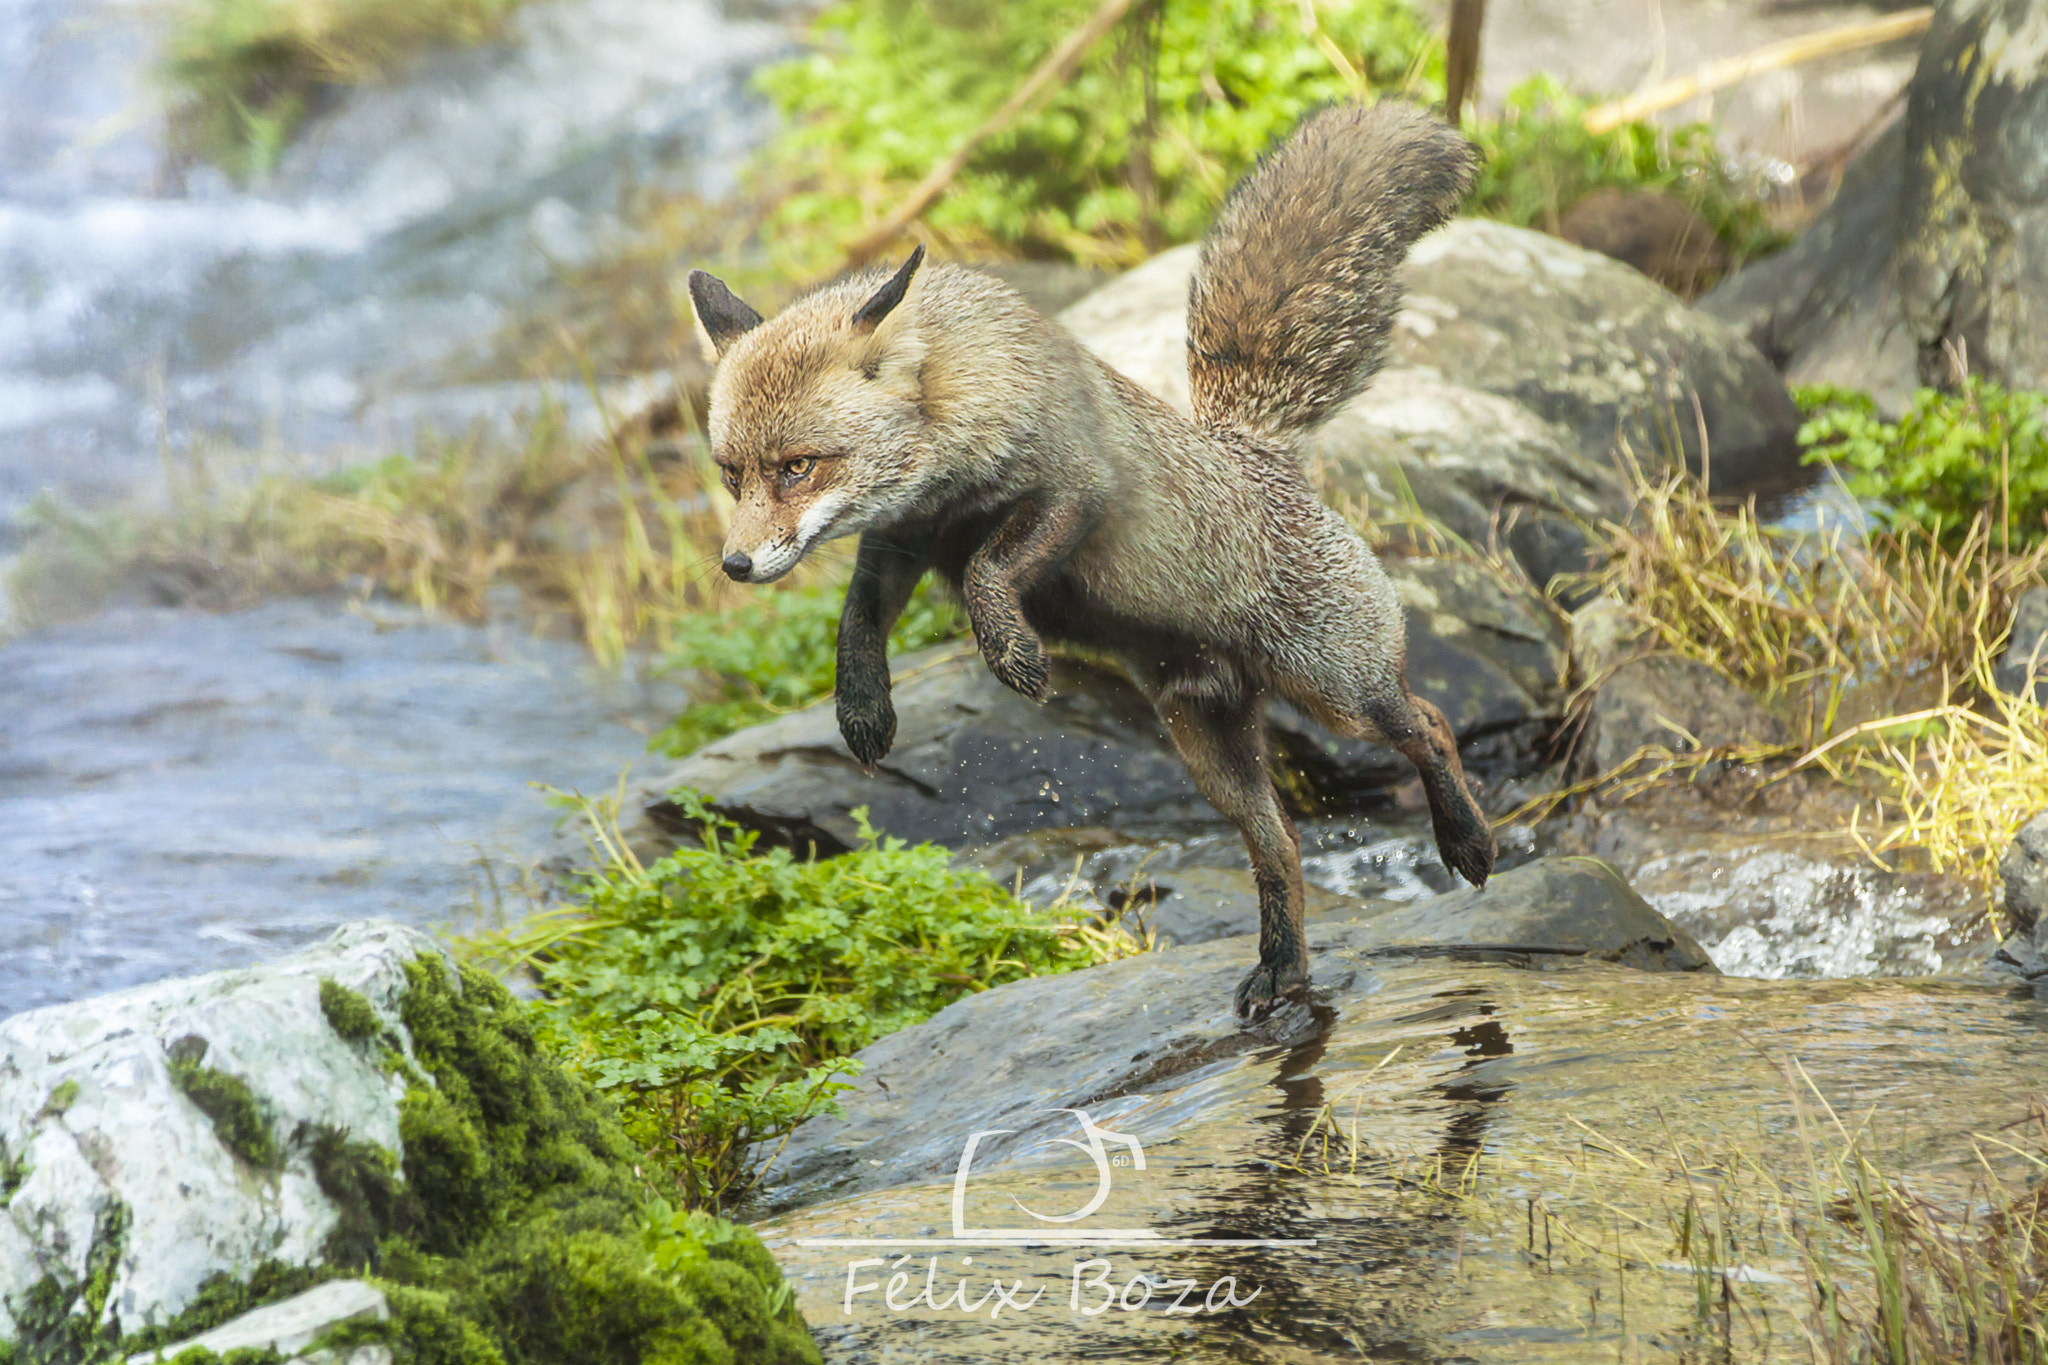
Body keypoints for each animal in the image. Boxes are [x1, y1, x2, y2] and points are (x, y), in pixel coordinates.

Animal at [687, 100, 1494, 1022]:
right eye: (732, 474)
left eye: (798, 466)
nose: (735, 565)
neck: (955, 446)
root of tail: (1260, 447)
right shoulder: (906, 537)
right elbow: (858, 621)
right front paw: (862, 708)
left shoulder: (1076, 490)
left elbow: (990, 573)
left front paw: (1013, 653)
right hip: (1210, 751)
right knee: (1282, 845)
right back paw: (1283, 967)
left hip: (1339, 692)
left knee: (1428, 724)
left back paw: (1465, 839)